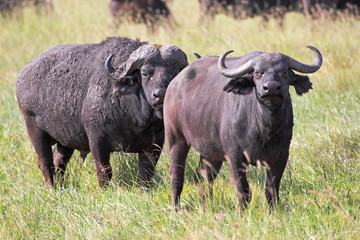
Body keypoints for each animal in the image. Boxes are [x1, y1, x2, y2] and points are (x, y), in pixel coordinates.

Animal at [15, 36, 187, 188]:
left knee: (59, 163)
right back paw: (52, 188)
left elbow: (146, 174)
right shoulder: (97, 140)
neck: (136, 119)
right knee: (45, 163)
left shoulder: (155, 144)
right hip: (35, 131)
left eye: (173, 72)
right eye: (145, 72)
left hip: (65, 140)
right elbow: (104, 172)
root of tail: (23, 75)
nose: (160, 94)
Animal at [165, 45, 322, 210]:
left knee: (203, 177)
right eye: (258, 73)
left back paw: (206, 207)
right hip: (176, 139)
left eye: (285, 72)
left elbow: (271, 191)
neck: (265, 129)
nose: (271, 88)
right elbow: (243, 190)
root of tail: (174, 83)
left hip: (210, 153)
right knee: (176, 174)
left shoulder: (281, 156)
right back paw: (175, 208)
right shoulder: (234, 156)